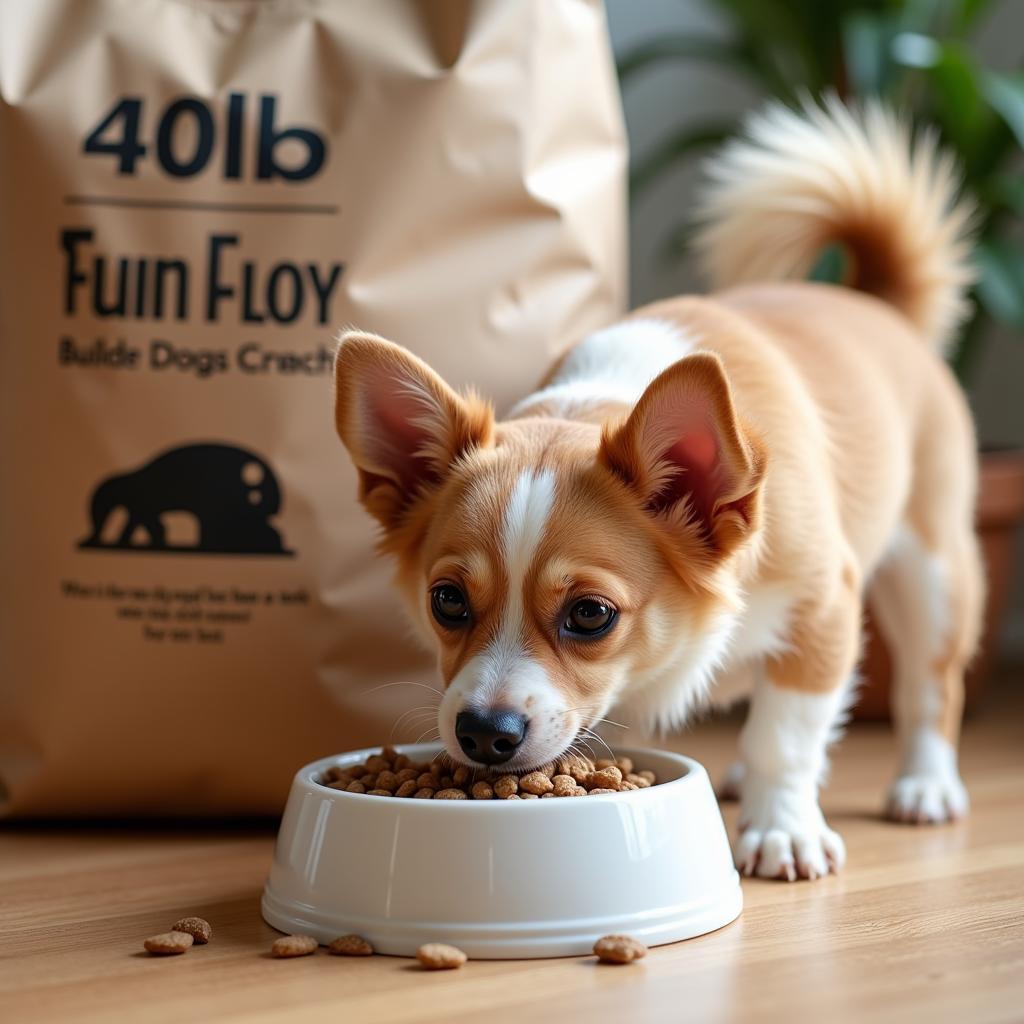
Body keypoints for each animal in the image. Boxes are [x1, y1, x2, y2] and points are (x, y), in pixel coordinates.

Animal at [331, 97, 978, 880]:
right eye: (446, 602)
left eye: (590, 615)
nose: (484, 732)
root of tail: (876, 303)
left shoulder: (823, 611)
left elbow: (786, 737)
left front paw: (783, 829)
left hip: (933, 575)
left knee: (930, 687)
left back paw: (926, 784)